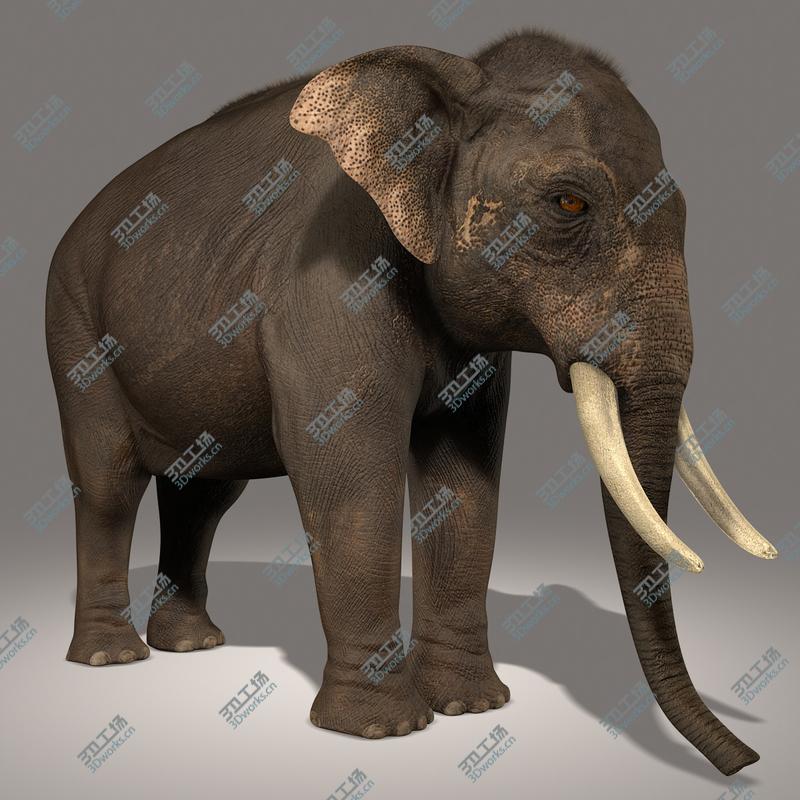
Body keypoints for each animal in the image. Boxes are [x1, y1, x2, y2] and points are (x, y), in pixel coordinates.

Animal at [46, 28, 777, 774]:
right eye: (569, 203)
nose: (746, 761)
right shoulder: (325, 283)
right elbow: (352, 476)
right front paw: (383, 729)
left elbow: (463, 478)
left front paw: (472, 707)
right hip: (74, 324)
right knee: (108, 484)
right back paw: (112, 657)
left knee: (204, 492)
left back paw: (192, 644)